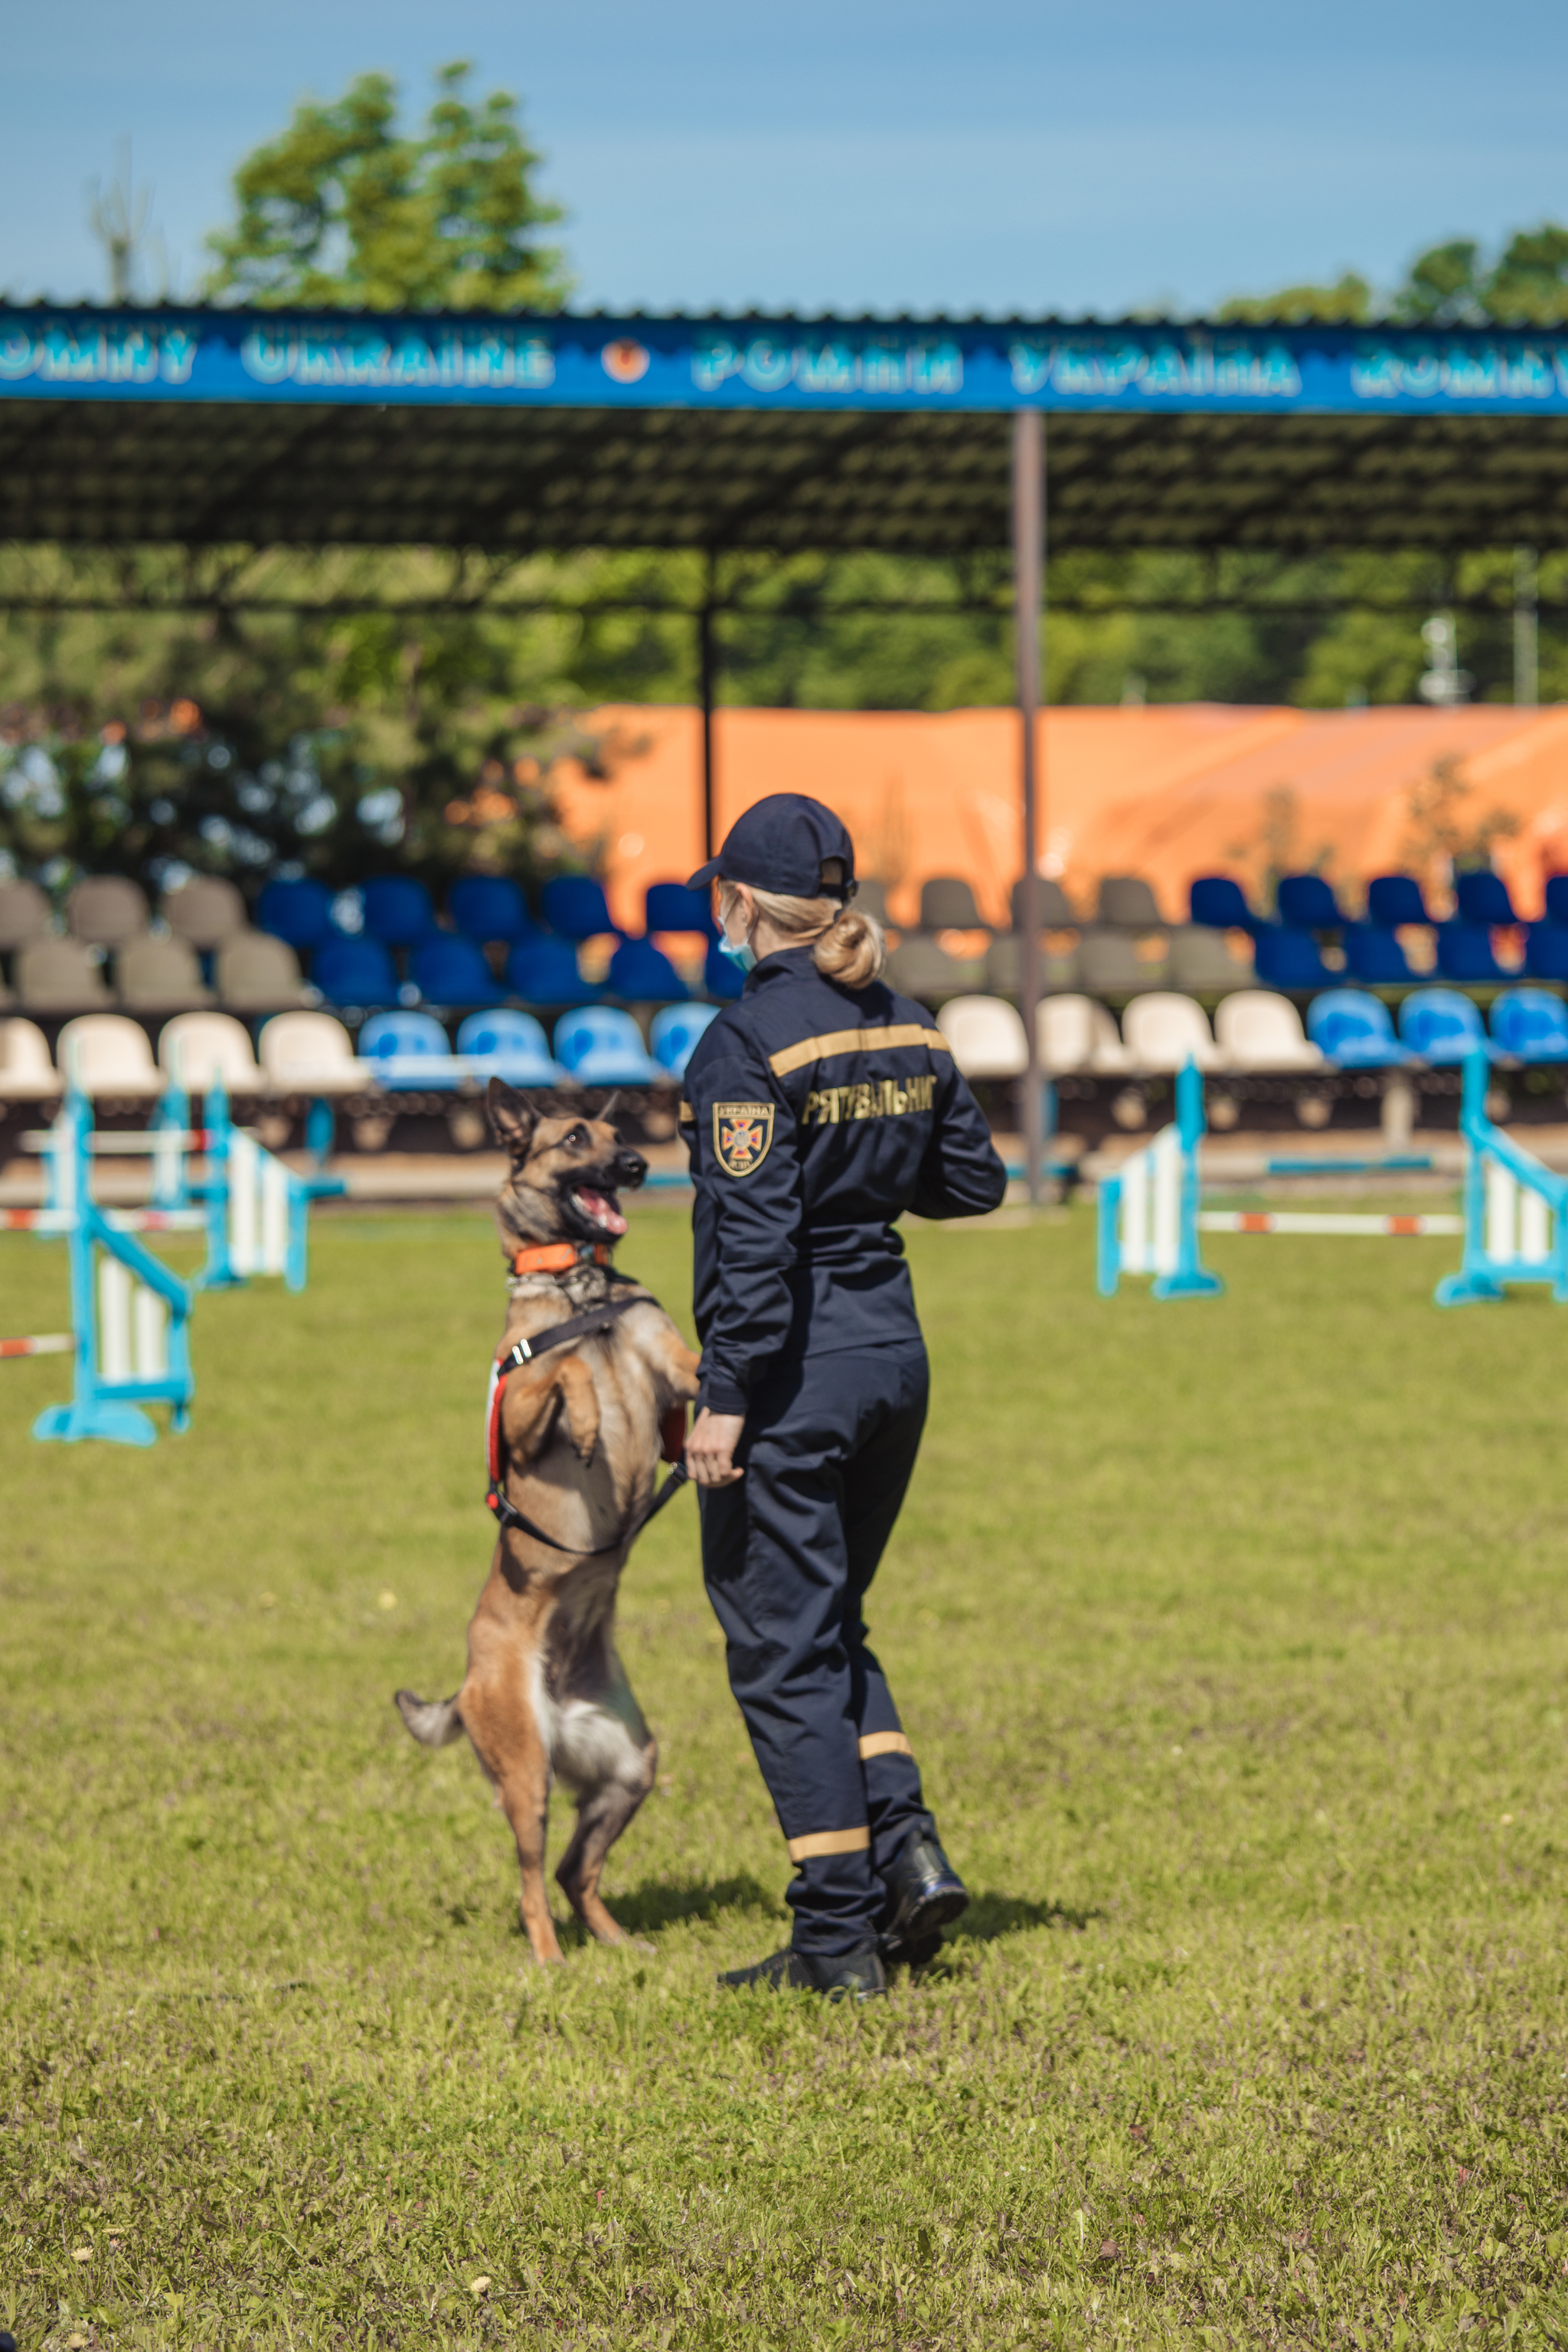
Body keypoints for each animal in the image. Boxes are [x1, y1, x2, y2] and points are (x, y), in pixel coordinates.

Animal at [399, 1082, 700, 1966]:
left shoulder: (675, 1369)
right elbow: (567, 1372)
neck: (582, 1292)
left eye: (618, 1131)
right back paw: (549, 1961)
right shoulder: (521, 1404)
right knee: (533, 1880)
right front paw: (593, 1424)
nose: (635, 1165)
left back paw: (621, 1944)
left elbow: (695, 1364)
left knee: (575, 1871)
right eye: (573, 1139)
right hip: (527, 1774)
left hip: (631, 1766)